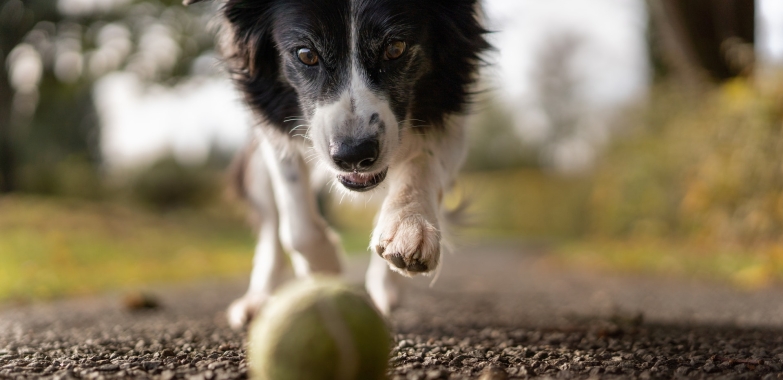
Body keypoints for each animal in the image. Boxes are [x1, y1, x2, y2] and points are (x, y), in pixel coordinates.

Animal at [185, 0, 490, 328]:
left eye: (395, 48)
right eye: (306, 54)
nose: (354, 155)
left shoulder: (451, 102)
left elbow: (422, 161)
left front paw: (409, 226)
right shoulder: (273, 123)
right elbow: (297, 224)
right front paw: (325, 272)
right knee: (270, 225)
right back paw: (258, 301)